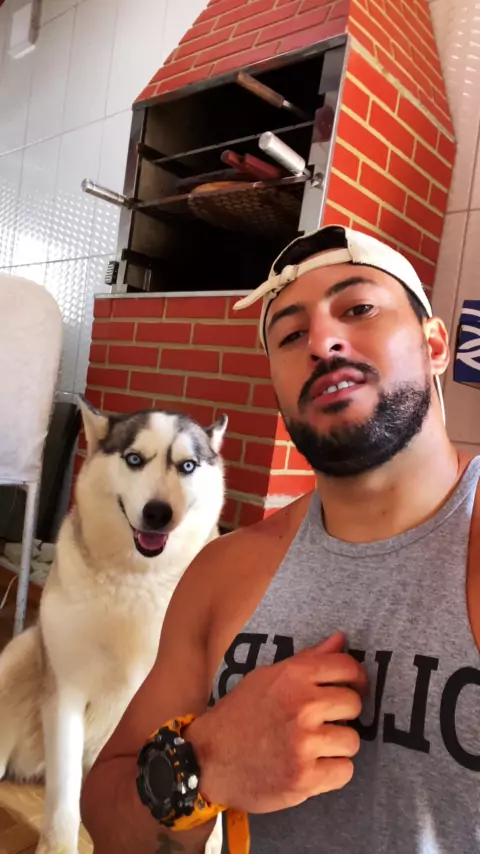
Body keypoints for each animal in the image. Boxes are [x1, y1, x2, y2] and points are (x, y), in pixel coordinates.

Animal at [0, 397, 227, 854]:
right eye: (134, 459)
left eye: (188, 465)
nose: (158, 514)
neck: (138, 578)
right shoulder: (66, 692)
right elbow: (64, 795)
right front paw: (58, 846)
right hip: (22, 652)